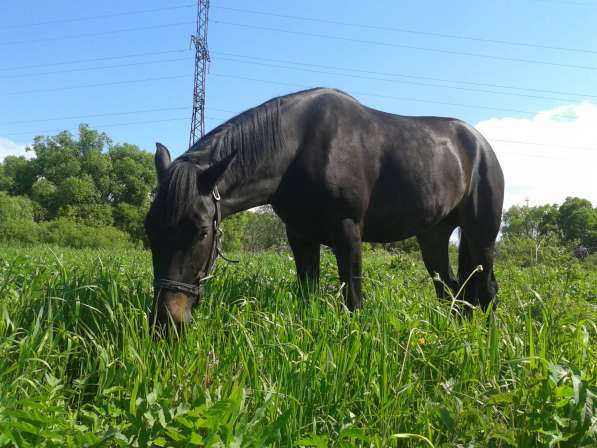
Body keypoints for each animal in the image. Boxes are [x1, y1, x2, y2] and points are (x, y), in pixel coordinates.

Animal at [146, 86, 502, 326]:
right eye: (150, 232)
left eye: (202, 232)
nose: (167, 322)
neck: (298, 147)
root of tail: (481, 144)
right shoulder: (300, 236)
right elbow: (308, 294)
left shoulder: (348, 232)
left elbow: (353, 300)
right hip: (433, 237)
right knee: (453, 290)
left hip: (481, 237)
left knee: (487, 290)